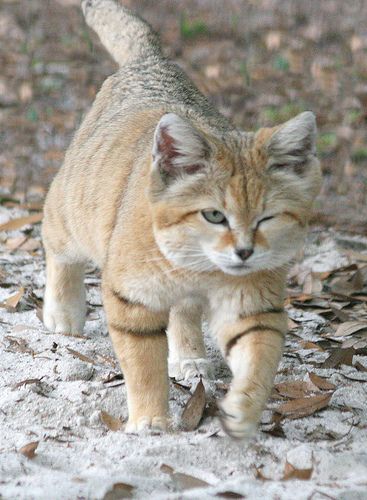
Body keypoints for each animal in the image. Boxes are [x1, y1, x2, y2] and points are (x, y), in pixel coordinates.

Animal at [41, 0, 320, 438]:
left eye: (267, 218)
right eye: (214, 215)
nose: (244, 253)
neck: (200, 264)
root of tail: (151, 61)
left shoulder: (253, 307)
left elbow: (258, 359)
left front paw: (242, 410)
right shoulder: (133, 299)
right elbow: (143, 366)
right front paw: (151, 421)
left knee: (184, 312)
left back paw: (189, 357)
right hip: (74, 212)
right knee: (56, 244)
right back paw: (62, 313)